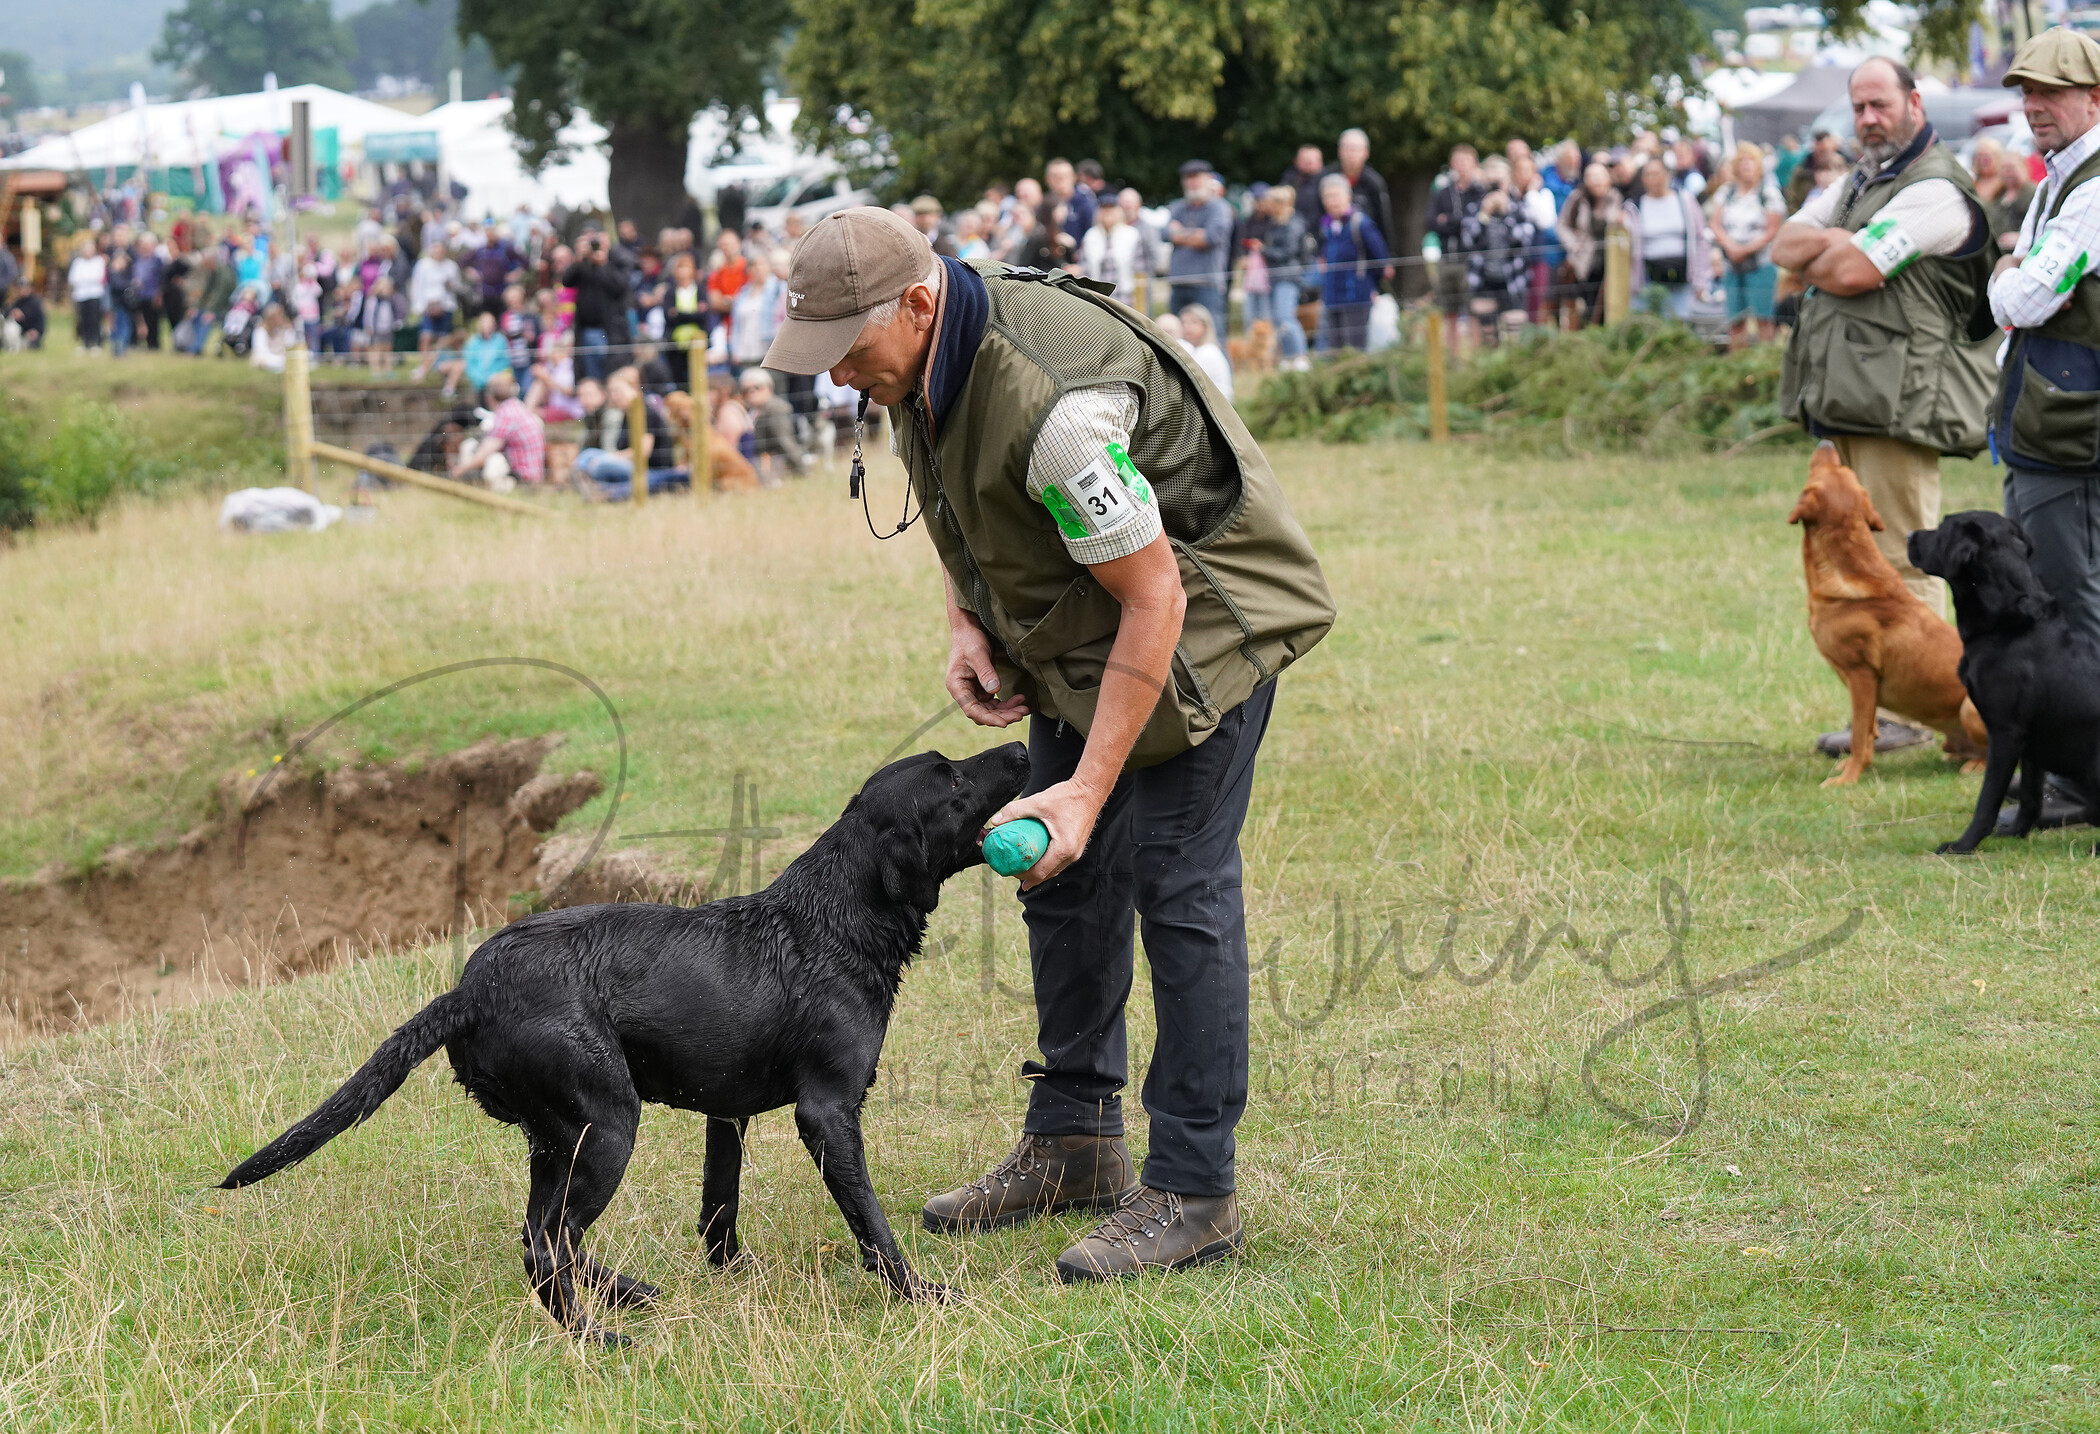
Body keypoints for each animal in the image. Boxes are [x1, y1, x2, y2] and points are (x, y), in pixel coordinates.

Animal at [219, 747, 1033, 1343]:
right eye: (953, 778)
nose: (1022, 747)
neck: (836, 921)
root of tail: (470, 991)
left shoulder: (727, 1114)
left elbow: (719, 1212)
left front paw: (733, 1277)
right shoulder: (828, 1111)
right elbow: (872, 1224)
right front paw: (920, 1292)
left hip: (558, 1138)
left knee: (545, 1236)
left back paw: (625, 1298)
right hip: (608, 1123)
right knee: (549, 1244)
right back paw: (600, 1332)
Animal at [1789, 445, 1982, 789]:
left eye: (1824, 471)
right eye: (1846, 471)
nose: (1826, 443)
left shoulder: (1861, 676)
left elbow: (1859, 738)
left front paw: (1847, 779)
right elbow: (1866, 733)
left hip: (1970, 709)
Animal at [1915, 512, 2091, 852]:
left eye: (1941, 530)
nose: (1910, 536)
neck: (2009, 627)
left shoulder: (2006, 734)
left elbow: (1987, 800)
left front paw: (1962, 846)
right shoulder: (2033, 741)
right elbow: (2031, 798)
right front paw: (2017, 832)